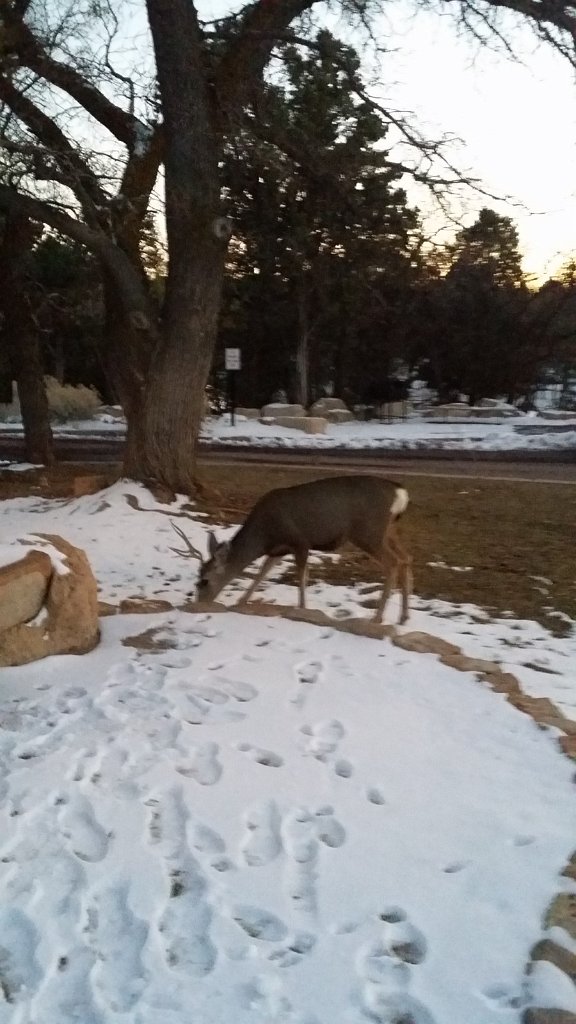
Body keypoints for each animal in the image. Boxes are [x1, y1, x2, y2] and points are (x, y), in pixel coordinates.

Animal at [177, 477, 409, 622]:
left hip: (368, 531)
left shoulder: (300, 541)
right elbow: (261, 573)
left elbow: (302, 577)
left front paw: (303, 609)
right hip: (389, 530)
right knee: (406, 558)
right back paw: (403, 617)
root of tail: (400, 492)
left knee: (394, 562)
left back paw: (378, 617)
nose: (198, 604)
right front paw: (241, 601)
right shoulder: (278, 550)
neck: (264, 535)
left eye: (204, 580)